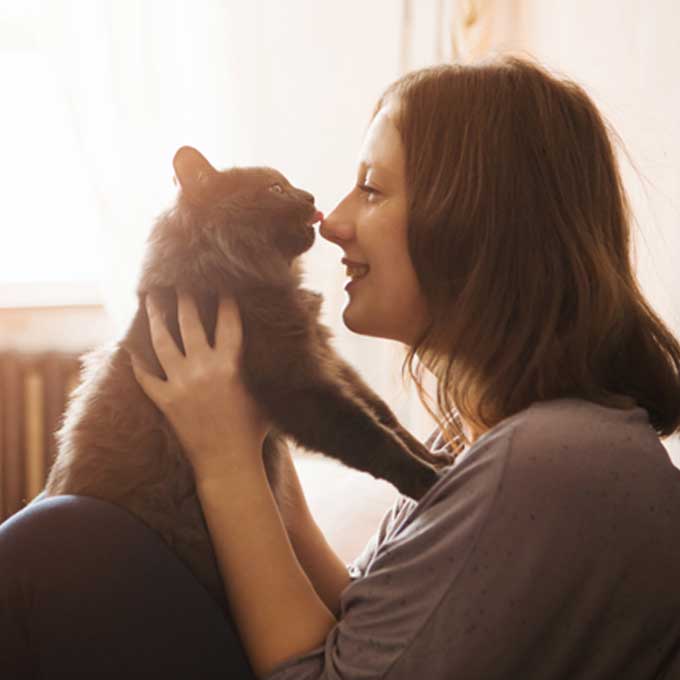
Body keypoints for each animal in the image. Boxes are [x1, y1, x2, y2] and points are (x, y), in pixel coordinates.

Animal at [41, 146, 440, 612]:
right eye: (275, 188)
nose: (309, 195)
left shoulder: (327, 360)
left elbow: (385, 416)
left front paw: (436, 456)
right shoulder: (298, 385)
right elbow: (370, 436)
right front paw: (427, 479)